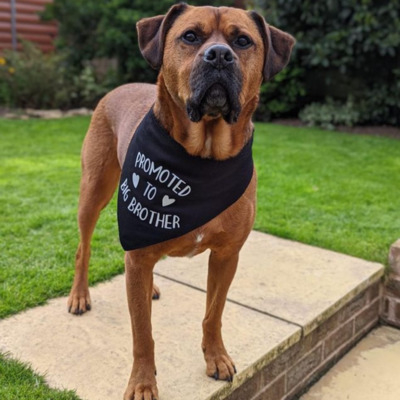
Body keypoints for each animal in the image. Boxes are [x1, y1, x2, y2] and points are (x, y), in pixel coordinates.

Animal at [67, 3, 294, 400]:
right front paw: (143, 382)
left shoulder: (227, 255)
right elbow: (142, 333)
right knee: (85, 247)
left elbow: (213, 313)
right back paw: (80, 295)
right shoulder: (139, 251)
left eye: (242, 41)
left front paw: (216, 357)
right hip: (94, 192)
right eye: (190, 36)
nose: (219, 55)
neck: (203, 157)